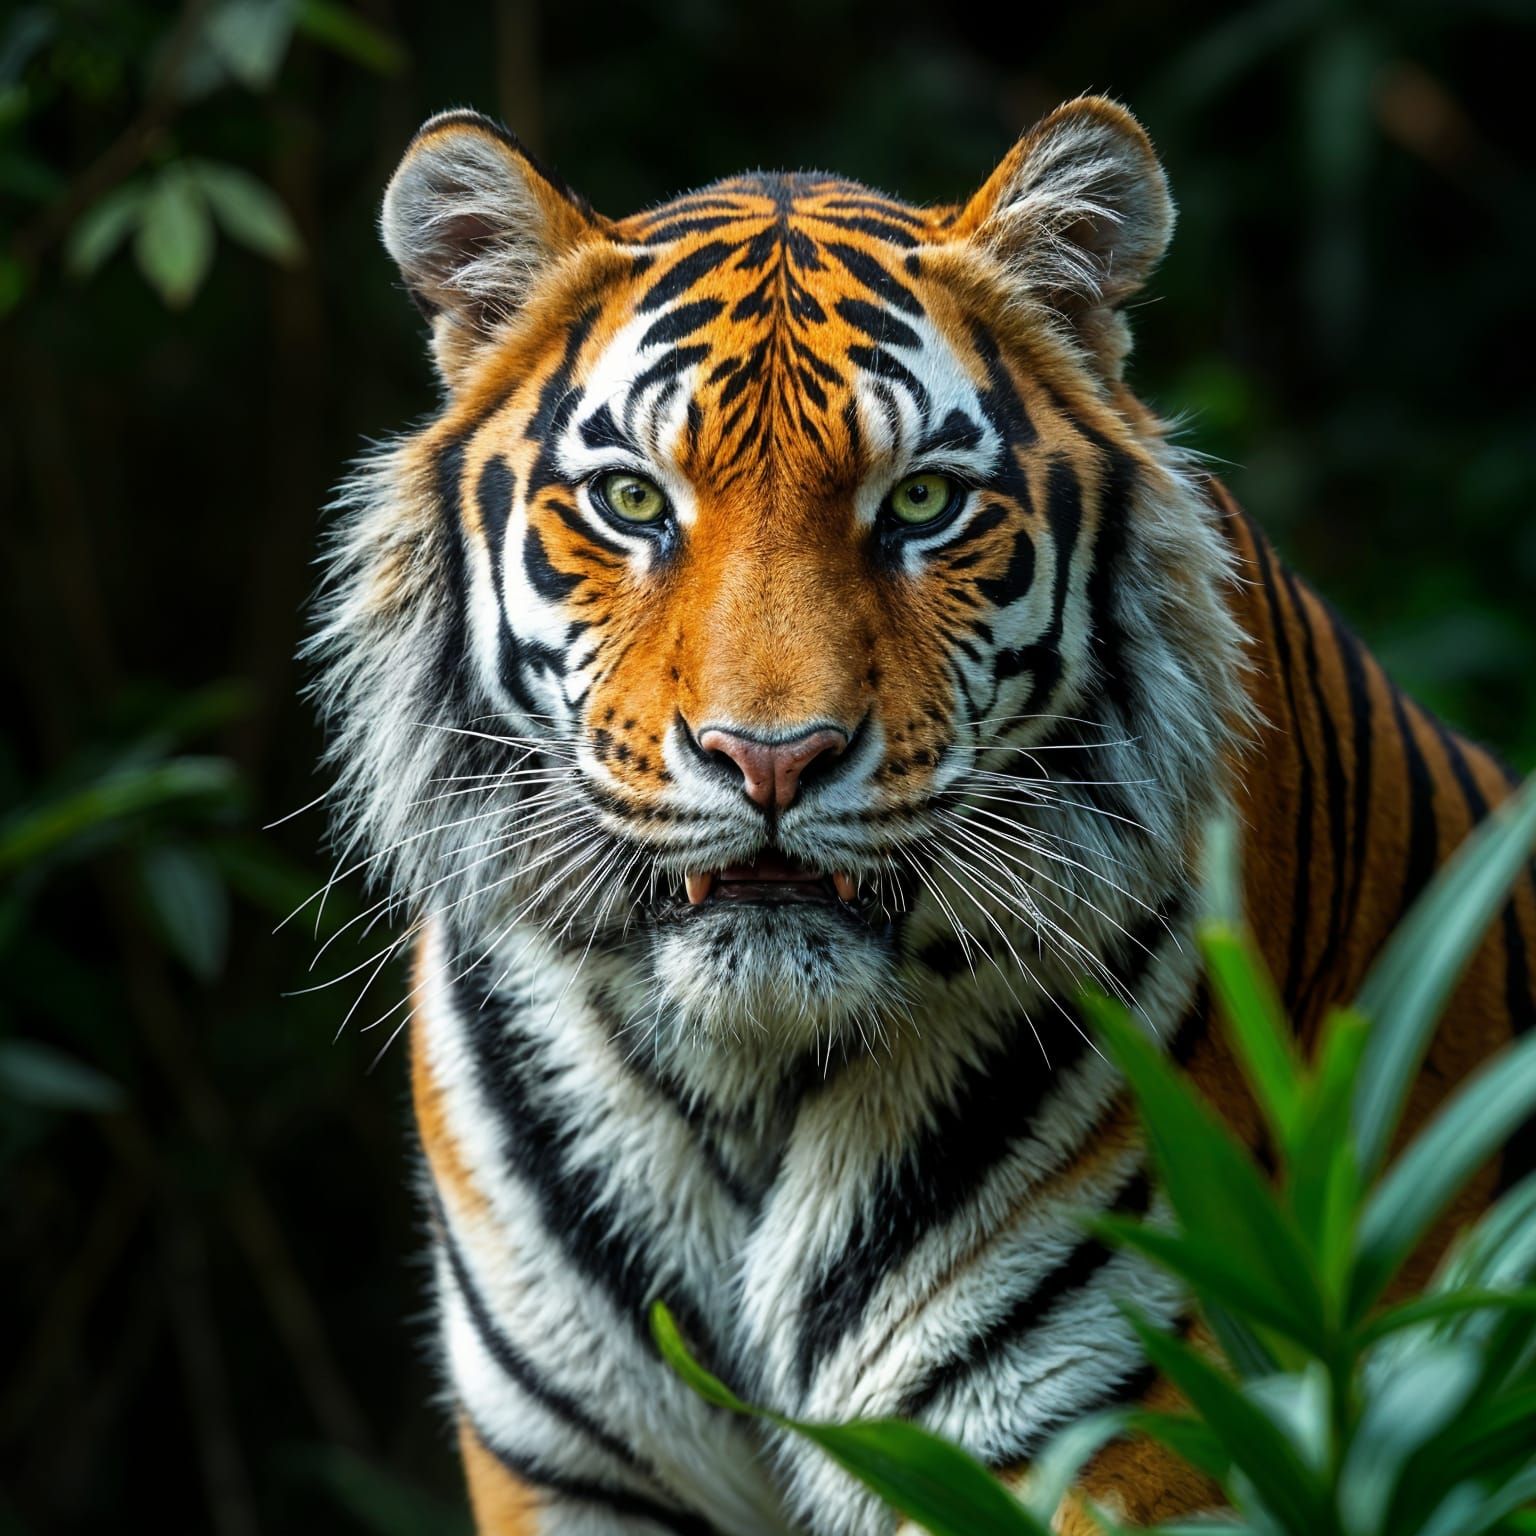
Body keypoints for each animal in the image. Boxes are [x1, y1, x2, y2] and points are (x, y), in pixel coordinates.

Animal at [307, 95, 1536, 1534]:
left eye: (922, 503)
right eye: (631, 501)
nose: (770, 759)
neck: (747, 1087)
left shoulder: (1109, 1431)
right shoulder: (565, 1464)